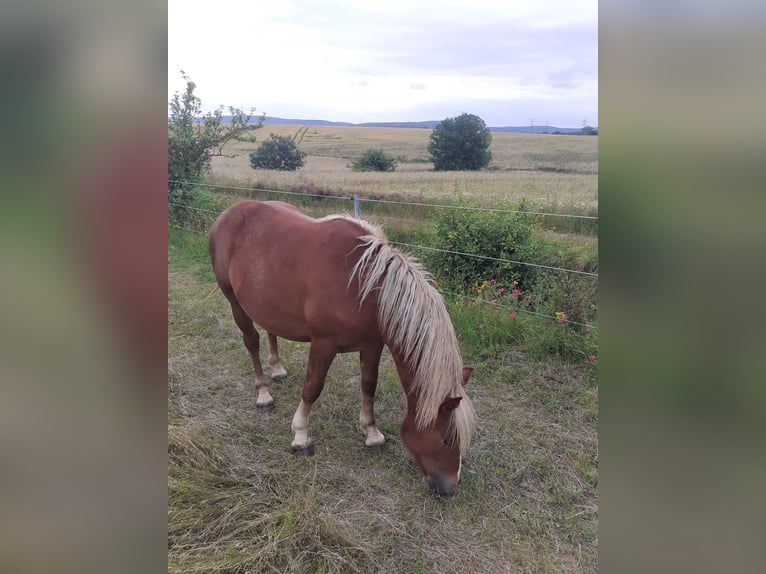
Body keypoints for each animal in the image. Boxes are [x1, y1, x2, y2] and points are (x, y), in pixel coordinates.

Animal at [207, 201, 476, 496]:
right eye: (447, 440)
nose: (449, 487)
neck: (366, 287)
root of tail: (228, 214)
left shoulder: (372, 345)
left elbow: (368, 385)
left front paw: (372, 434)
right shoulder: (324, 344)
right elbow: (312, 387)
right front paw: (301, 436)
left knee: (270, 330)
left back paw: (277, 370)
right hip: (235, 301)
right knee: (251, 341)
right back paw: (263, 394)